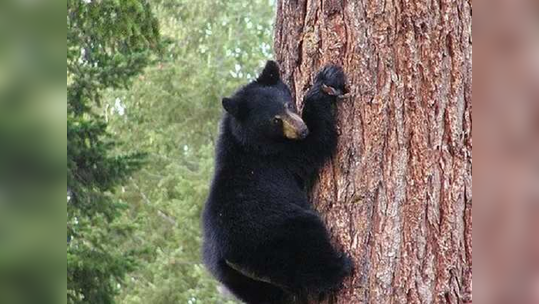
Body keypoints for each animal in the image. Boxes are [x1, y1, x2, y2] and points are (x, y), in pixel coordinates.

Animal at [201, 60, 350, 302]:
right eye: (275, 120)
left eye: (288, 104)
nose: (301, 129)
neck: (242, 140)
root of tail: (230, 259)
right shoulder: (279, 156)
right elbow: (316, 143)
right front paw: (325, 82)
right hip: (277, 236)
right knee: (309, 249)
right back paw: (341, 266)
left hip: (237, 280)